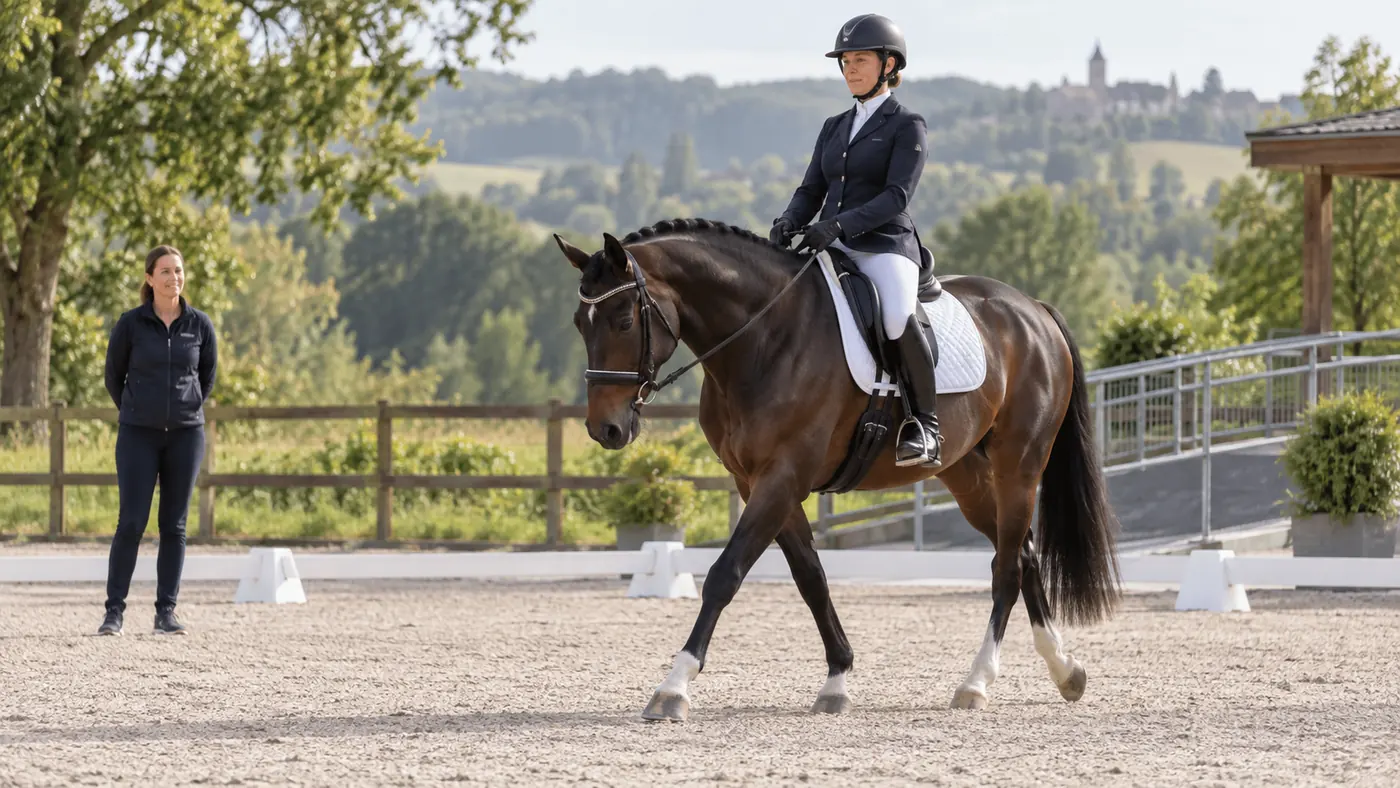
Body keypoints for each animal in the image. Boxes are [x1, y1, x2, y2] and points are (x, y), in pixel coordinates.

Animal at [553, 218, 1122, 721]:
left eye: (625, 320)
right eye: (580, 324)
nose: (606, 429)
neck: (763, 338)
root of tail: (1033, 310)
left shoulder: (783, 476)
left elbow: (724, 575)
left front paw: (673, 688)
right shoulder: (758, 482)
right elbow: (811, 578)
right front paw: (837, 682)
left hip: (1018, 465)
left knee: (1006, 566)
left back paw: (976, 682)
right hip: (966, 474)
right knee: (1022, 553)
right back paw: (1066, 671)